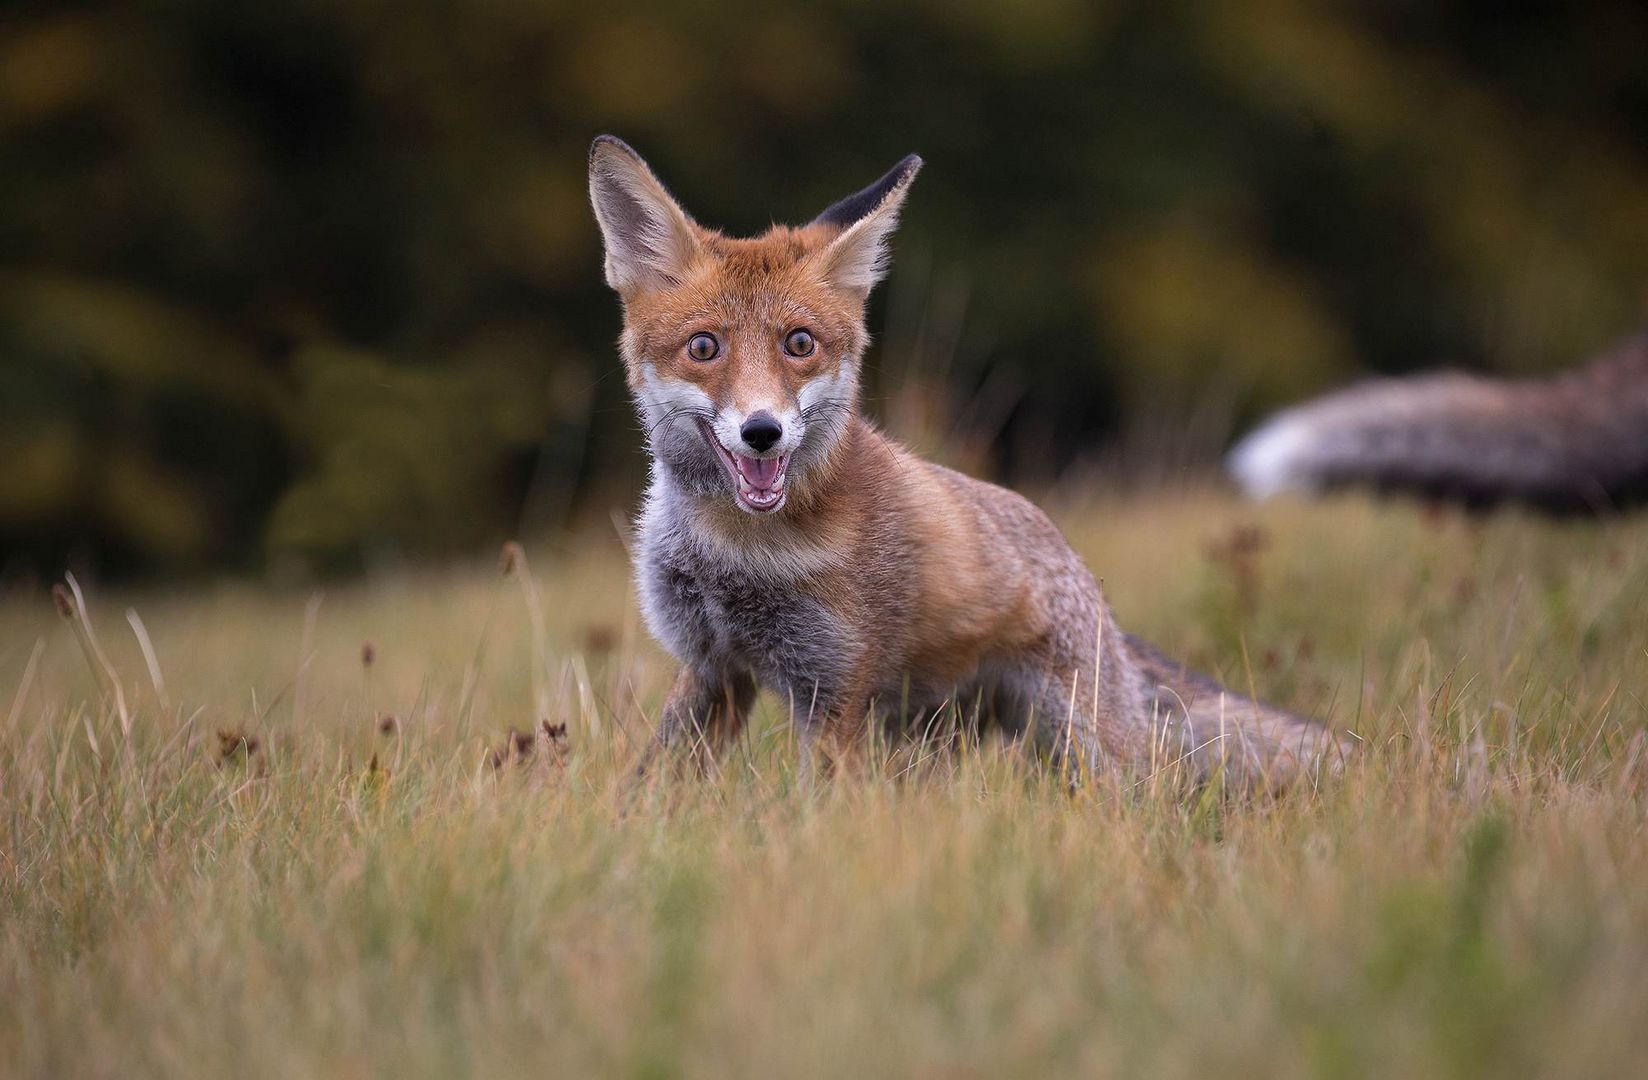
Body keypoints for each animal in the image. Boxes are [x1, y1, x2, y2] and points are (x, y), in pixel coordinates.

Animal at [586, 139, 1344, 791]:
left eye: (799, 343)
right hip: (928, 735)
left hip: (1083, 742)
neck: (736, 553)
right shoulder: (713, 669)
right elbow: (648, 788)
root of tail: (1091, 586)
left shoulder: (834, 692)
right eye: (704, 347)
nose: (763, 432)